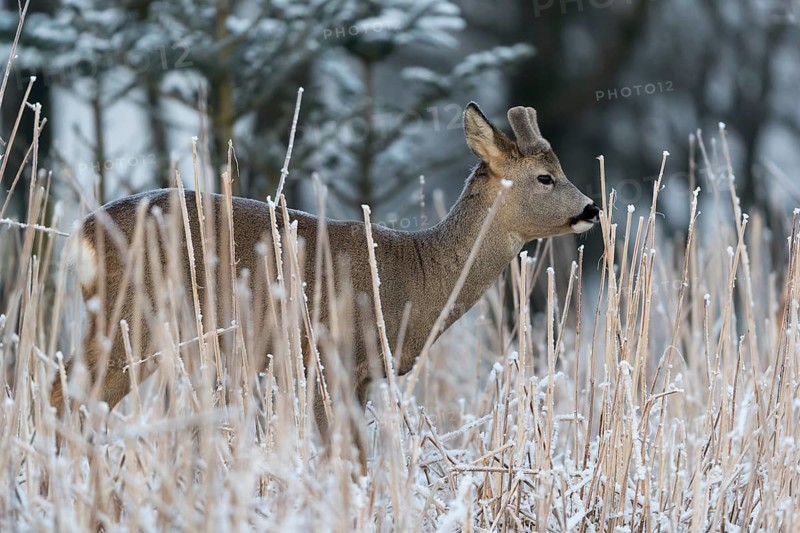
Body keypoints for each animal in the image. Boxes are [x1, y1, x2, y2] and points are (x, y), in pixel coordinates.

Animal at [50, 102, 599, 468]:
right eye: (545, 177)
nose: (592, 209)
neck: (416, 279)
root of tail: (83, 234)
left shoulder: (362, 376)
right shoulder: (325, 357)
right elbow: (344, 457)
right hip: (132, 319)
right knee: (67, 393)